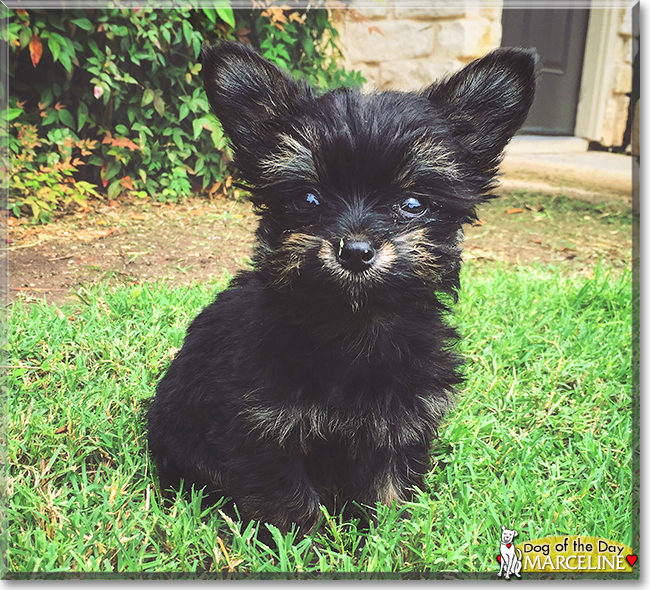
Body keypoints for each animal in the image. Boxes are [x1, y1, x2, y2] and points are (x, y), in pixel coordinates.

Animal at [146, 39, 532, 536]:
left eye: (413, 204)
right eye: (308, 199)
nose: (356, 250)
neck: (353, 327)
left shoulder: (402, 426)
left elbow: (389, 495)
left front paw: (390, 539)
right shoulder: (262, 431)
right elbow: (290, 507)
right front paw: (302, 544)